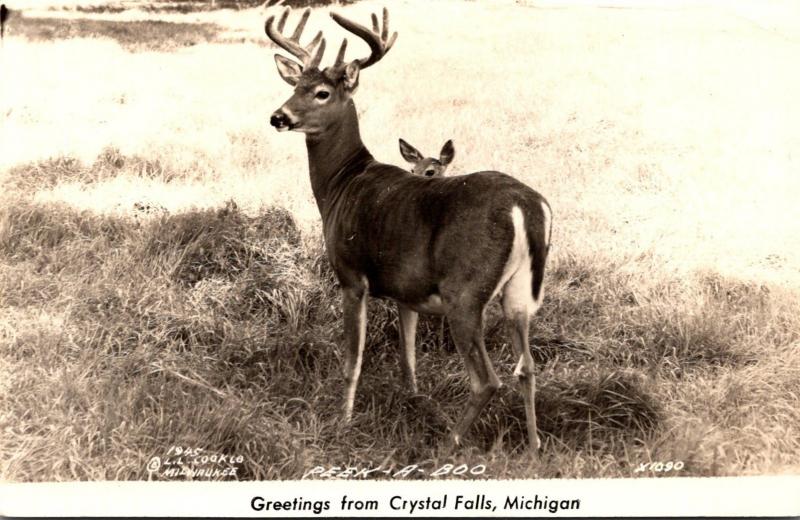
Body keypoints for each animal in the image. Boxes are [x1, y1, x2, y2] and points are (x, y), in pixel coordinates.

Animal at [266, 7, 552, 450]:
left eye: (322, 93)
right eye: (296, 85)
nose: (279, 116)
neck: (340, 185)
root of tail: (526, 205)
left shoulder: (351, 275)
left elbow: (353, 359)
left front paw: (342, 422)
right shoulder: (407, 291)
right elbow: (408, 357)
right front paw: (412, 402)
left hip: (464, 290)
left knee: (488, 380)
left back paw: (449, 444)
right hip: (520, 291)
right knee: (527, 367)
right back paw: (535, 448)